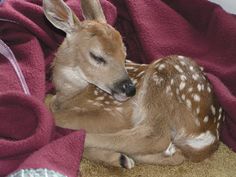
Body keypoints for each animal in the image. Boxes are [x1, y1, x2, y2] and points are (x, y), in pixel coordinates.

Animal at [43, 0, 222, 169]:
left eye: (124, 54)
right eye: (97, 57)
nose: (130, 89)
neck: (72, 93)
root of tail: (211, 135)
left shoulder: (115, 111)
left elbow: (61, 116)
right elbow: (50, 103)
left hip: (163, 83)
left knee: (155, 137)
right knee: (175, 154)